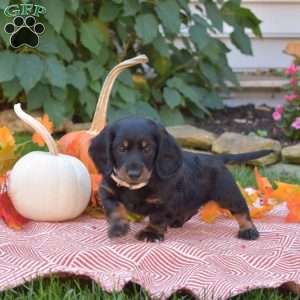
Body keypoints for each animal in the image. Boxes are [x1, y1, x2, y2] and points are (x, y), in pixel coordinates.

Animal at [88, 118, 272, 243]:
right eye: (121, 148)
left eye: (147, 149)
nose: (134, 174)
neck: (136, 187)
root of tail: (217, 158)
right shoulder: (108, 192)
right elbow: (115, 210)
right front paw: (118, 228)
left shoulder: (164, 201)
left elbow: (157, 218)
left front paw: (151, 233)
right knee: (191, 209)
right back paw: (176, 221)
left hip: (228, 194)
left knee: (242, 211)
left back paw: (248, 230)